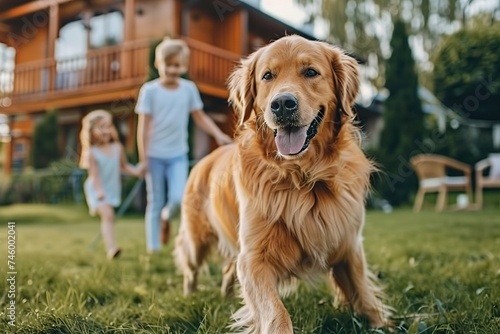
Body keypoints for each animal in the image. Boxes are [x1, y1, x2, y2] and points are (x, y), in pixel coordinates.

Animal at [175, 34, 390, 332]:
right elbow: (276, 311)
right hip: (197, 240)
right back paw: (189, 296)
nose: (282, 104)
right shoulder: (254, 258)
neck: (302, 176)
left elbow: (364, 293)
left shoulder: (348, 244)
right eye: (267, 76)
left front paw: (382, 323)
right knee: (190, 264)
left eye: (310, 72)